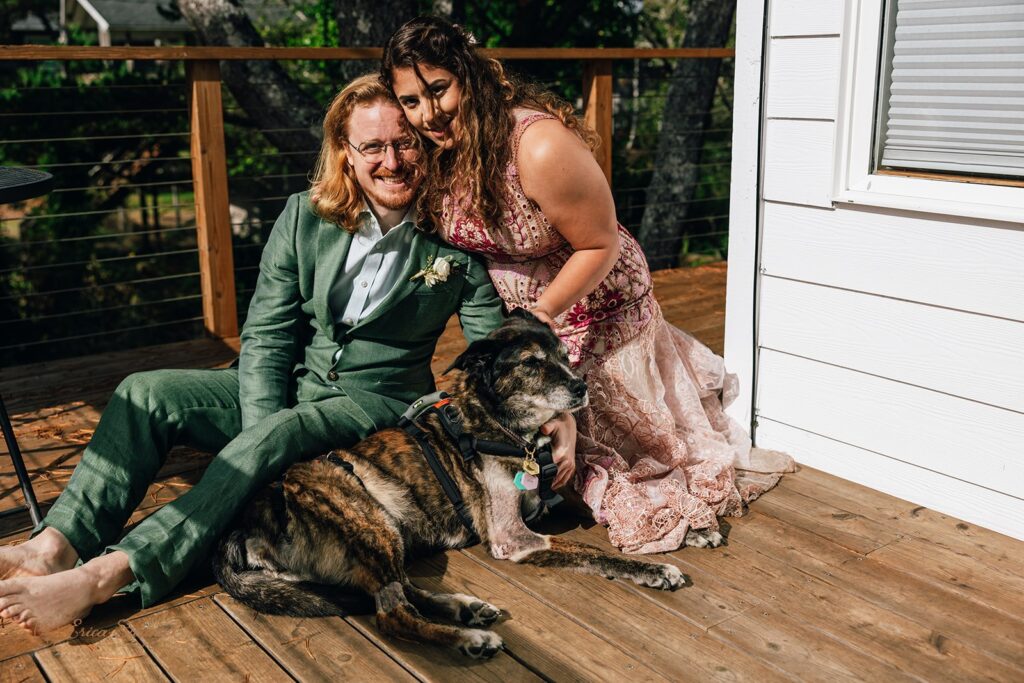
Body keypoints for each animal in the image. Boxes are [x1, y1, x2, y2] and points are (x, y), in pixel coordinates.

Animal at [209, 309, 688, 655]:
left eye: (564, 358)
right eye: (532, 363)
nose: (581, 387)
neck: (501, 424)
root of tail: (246, 523)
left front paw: (687, 525)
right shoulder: (513, 537)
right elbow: (590, 550)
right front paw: (654, 569)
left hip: (383, 535)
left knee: (398, 589)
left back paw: (467, 609)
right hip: (369, 524)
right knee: (390, 614)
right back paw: (469, 638)